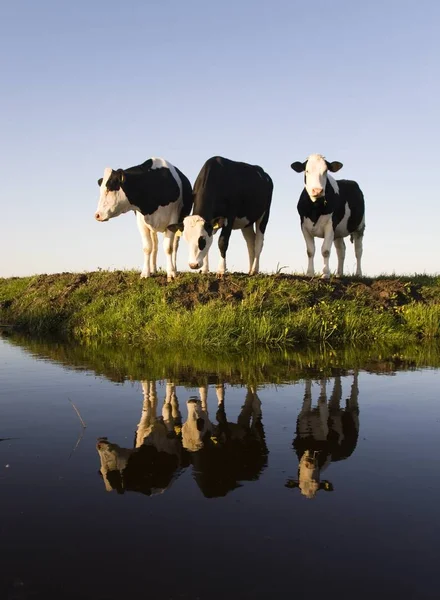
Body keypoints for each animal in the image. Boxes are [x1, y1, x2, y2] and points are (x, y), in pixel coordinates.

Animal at [286, 372, 360, 500]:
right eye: (300, 477)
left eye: (316, 481)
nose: (310, 464)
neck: (311, 441)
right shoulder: (303, 416)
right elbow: (307, 396)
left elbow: (322, 400)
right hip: (335, 404)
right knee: (338, 389)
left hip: (353, 414)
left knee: (354, 391)